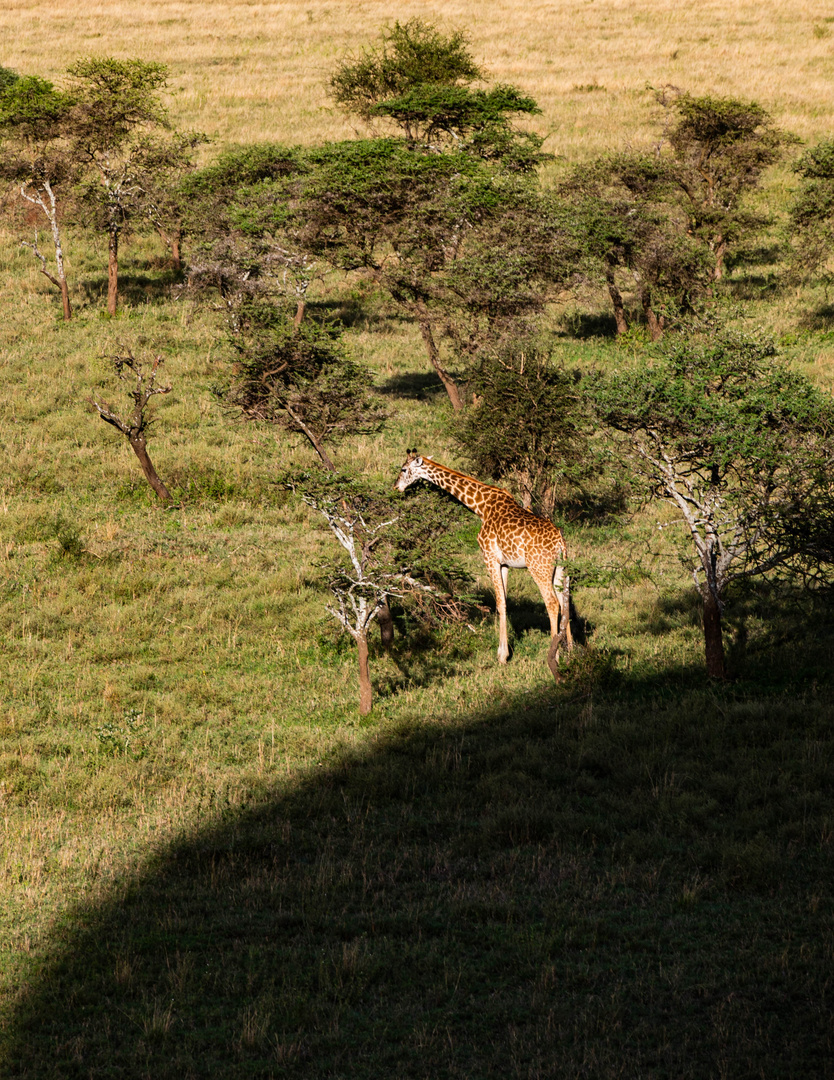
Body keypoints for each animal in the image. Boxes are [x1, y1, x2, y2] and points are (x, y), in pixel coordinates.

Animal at [393, 449, 570, 669]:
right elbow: (504, 603)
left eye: (403, 469)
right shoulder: (504, 563)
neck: (481, 506)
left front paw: (502, 656)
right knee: (565, 602)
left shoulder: (489, 557)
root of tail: (560, 542)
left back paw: (554, 657)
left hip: (539, 568)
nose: (396, 487)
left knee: (553, 603)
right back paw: (571, 653)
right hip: (560, 568)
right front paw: (504, 653)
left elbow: (499, 603)